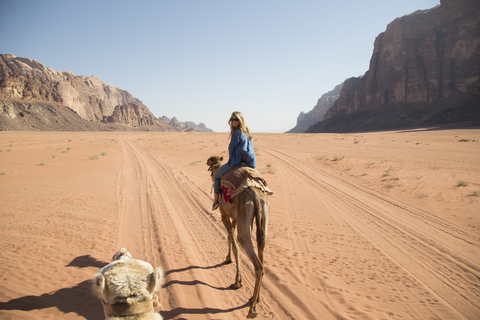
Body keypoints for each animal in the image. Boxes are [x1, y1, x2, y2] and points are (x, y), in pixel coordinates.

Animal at [205, 155, 270, 318]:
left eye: (211, 160)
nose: (207, 161)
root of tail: (256, 197)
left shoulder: (223, 213)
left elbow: (233, 242)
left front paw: (237, 281)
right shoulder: (234, 216)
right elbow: (230, 236)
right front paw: (228, 259)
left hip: (244, 214)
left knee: (246, 246)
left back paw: (251, 309)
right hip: (263, 214)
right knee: (261, 245)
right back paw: (255, 298)